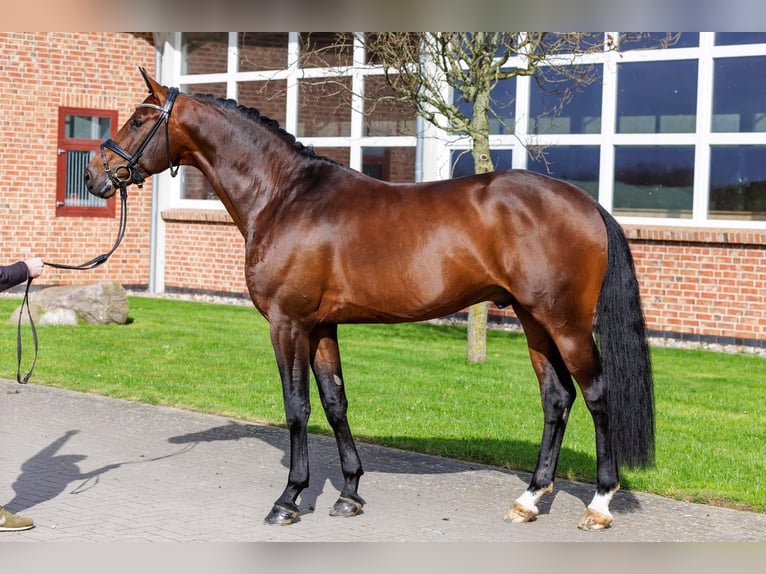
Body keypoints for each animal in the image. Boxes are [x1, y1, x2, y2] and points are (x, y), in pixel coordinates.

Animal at [87, 67, 656, 532]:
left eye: (139, 120)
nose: (95, 175)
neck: (283, 197)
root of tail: (587, 203)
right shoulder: (320, 327)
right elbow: (335, 402)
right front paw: (350, 494)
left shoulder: (287, 324)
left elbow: (297, 408)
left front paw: (289, 499)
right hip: (533, 319)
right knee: (556, 398)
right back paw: (530, 499)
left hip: (566, 322)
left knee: (597, 394)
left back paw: (599, 504)